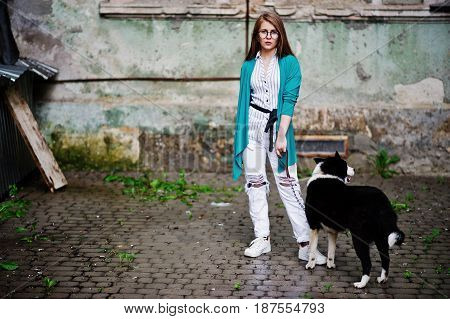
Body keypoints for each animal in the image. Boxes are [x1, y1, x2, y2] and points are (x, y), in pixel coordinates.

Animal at [306, 151, 404, 288]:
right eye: (345, 165)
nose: (354, 169)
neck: (327, 174)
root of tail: (383, 202)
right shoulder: (332, 230)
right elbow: (331, 251)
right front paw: (330, 265)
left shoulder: (313, 225)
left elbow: (312, 249)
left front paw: (310, 265)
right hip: (381, 238)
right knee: (386, 258)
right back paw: (382, 279)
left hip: (359, 238)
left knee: (367, 262)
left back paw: (361, 284)